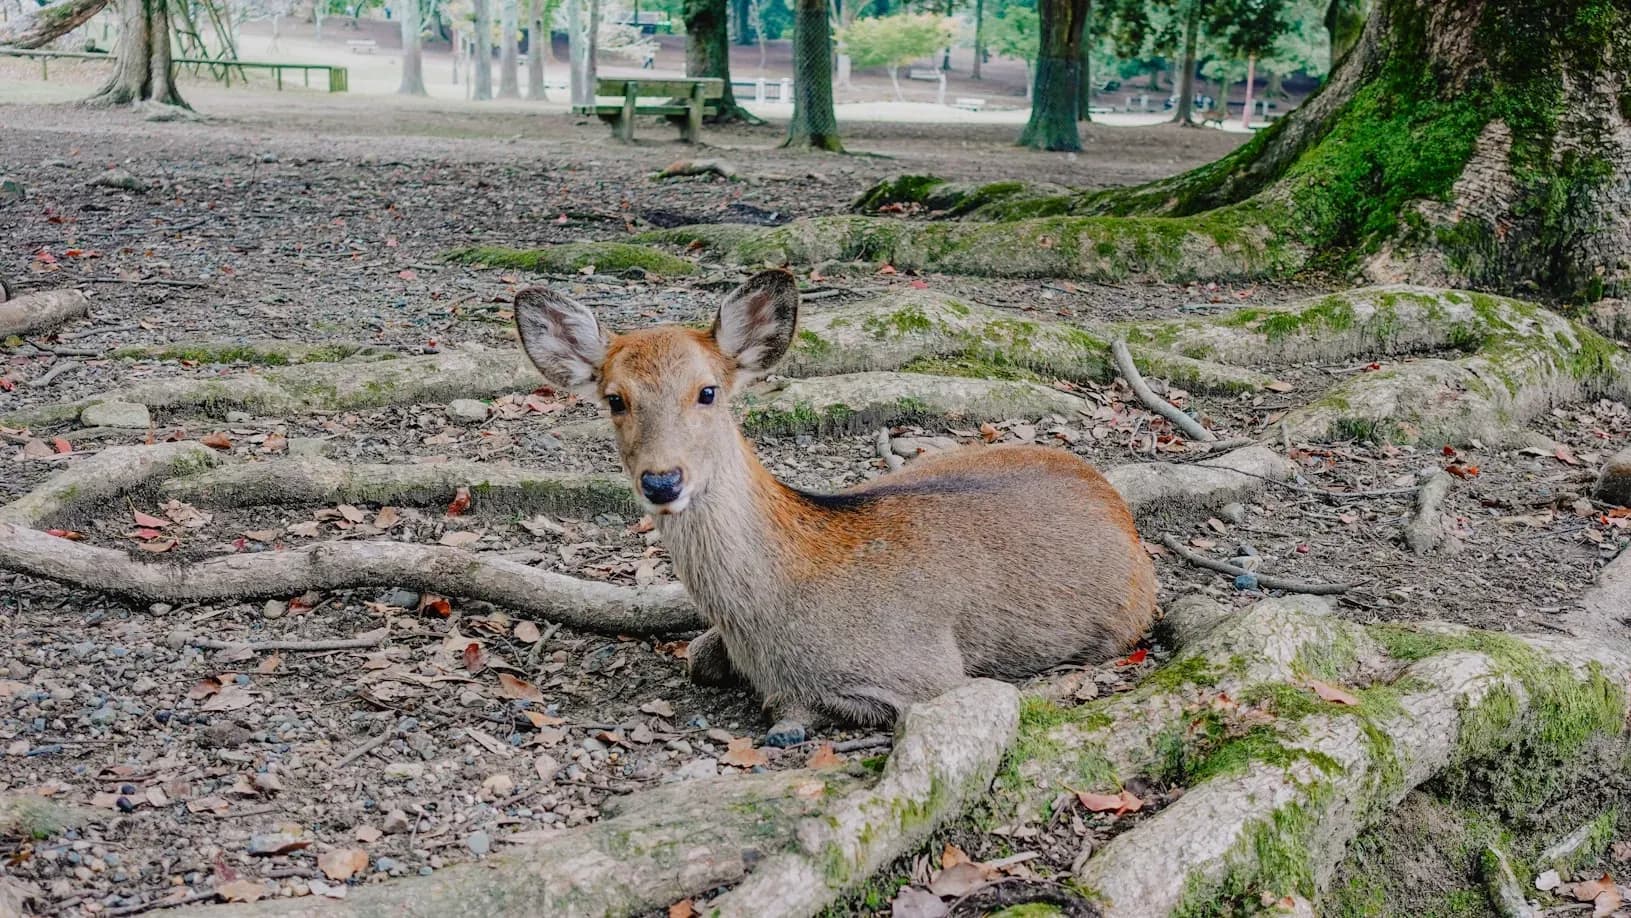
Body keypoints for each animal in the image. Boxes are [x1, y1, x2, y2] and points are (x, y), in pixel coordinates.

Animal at [514, 269, 1157, 746]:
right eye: (614, 399)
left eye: (707, 391)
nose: (663, 481)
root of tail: (1114, 500)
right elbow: (696, 655)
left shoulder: (929, 670)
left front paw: (792, 716)